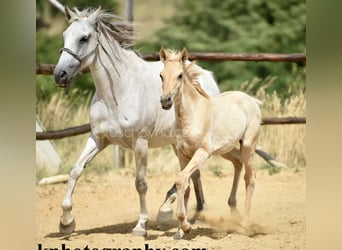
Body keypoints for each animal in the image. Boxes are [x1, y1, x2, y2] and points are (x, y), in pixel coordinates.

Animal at [53, 6, 222, 236]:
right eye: (64, 36)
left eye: (84, 38)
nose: (59, 75)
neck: (118, 93)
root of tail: (207, 76)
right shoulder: (98, 139)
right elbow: (75, 170)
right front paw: (66, 222)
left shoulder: (140, 143)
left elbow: (141, 183)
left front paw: (141, 225)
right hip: (177, 143)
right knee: (191, 174)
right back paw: (182, 212)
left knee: (190, 173)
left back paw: (171, 211)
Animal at [159, 47, 260, 239]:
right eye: (161, 75)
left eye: (180, 75)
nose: (165, 101)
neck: (192, 115)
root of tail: (252, 100)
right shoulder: (182, 154)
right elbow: (185, 185)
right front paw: (180, 231)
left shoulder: (202, 152)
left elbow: (182, 179)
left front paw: (185, 225)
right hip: (226, 149)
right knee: (238, 162)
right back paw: (233, 210)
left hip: (248, 145)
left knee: (250, 178)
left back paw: (245, 225)